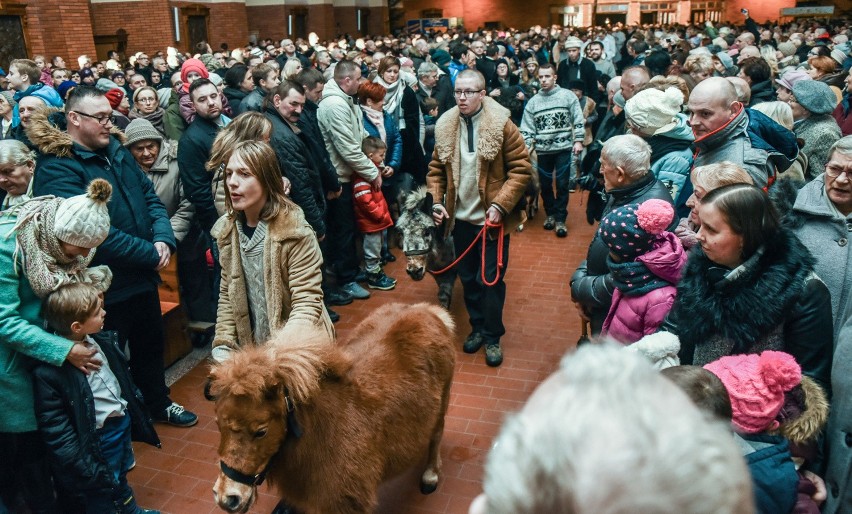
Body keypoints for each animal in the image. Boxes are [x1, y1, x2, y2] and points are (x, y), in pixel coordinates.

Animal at [209, 300, 456, 512]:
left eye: (261, 431)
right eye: (218, 423)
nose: (227, 498)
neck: (328, 429)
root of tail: (428, 310)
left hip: (444, 399)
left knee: (437, 433)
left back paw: (430, 476)